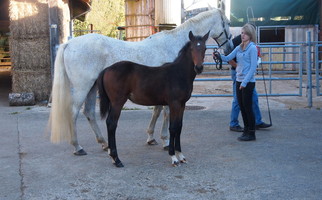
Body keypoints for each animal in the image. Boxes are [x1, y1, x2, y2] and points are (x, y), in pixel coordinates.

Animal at [49, 8, 233, 155]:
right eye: (228, 24)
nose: (230, 48)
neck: (173, 44)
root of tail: (68, 44)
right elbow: (166, 113)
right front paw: (166, 141)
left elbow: (157, 111)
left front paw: (151, 137)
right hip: (82, 87)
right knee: (73, 112)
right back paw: (78, 147)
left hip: (92, 88)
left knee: (89, 113)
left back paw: (104, 143)